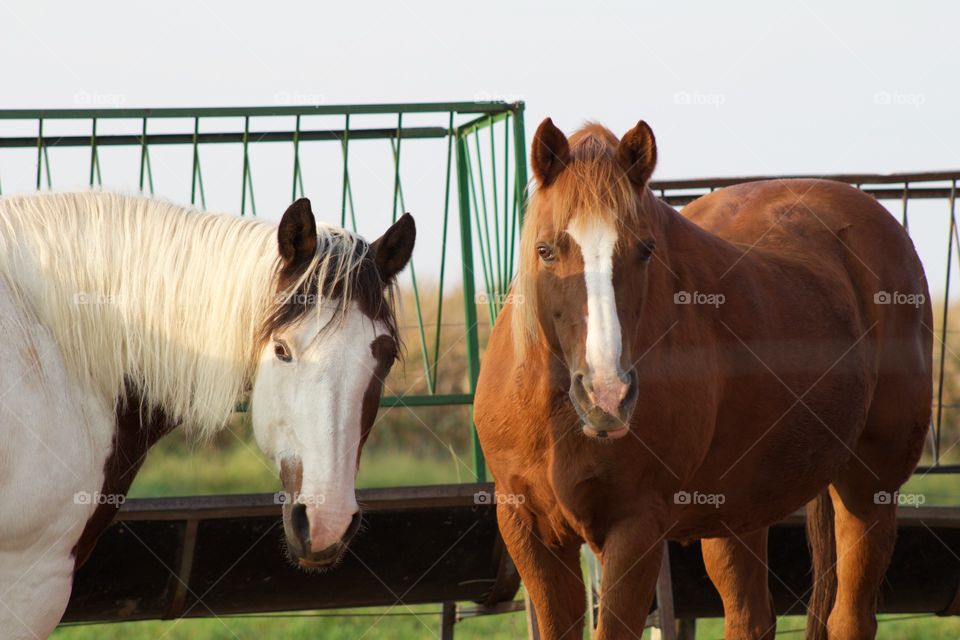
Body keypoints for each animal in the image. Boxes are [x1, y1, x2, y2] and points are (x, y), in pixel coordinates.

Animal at [476, 117, 932, 636]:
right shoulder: (529, 532)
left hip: (869, 490)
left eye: (645, 250)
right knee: (751, 616)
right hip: (737, 508)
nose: (607, 395)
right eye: (546, 250)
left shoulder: (635, 529)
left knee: (849, 617)